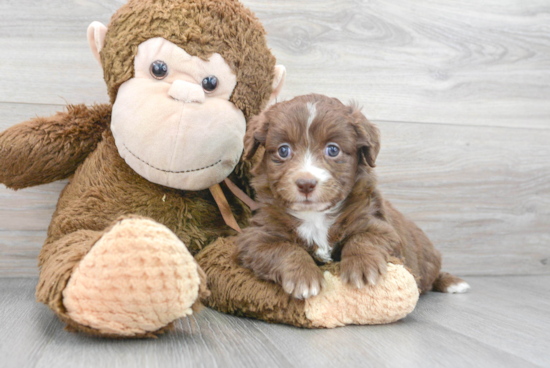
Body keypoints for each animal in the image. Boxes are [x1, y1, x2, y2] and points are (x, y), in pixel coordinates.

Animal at [237, 94, 470, 300]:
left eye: (333, 150)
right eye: (283, 150)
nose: (305, 184)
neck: (315, 216)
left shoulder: (380, 226)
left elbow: (363, 237)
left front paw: (361, 267)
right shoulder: (257, 237)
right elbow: (283, 248)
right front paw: (303, 276)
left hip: (428, 257)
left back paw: (452, 282)